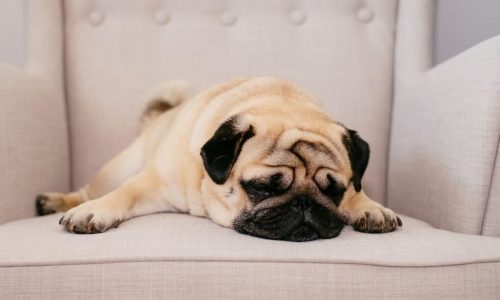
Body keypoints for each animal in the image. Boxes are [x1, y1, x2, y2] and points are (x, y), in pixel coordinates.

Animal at [35, 77, 402, 241]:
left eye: (333, 190)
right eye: (262, 188)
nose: (303, 204)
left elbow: (360, 191)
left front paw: (370, 207)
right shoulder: (151, 182)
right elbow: (123, 194)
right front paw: (93, 211)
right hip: (117, 168)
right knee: (93, 188)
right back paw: (58, 201)